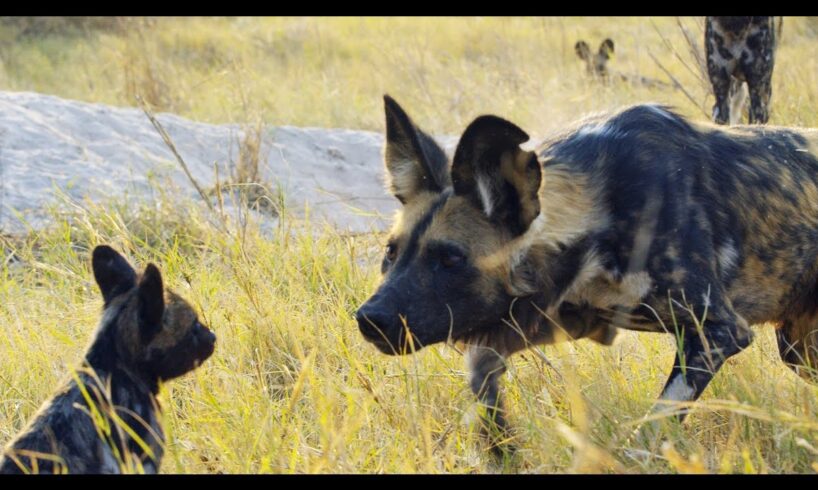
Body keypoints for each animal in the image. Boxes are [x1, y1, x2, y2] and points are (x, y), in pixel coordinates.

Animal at [360, 95, 816, 456]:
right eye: (391, 253)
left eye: (450, 259)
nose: (369, 319)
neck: (602, 209)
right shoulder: (560, 316)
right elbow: (482, 375)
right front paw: (502, 450)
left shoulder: (717, 330)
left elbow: (652, 426)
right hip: (799, 351)